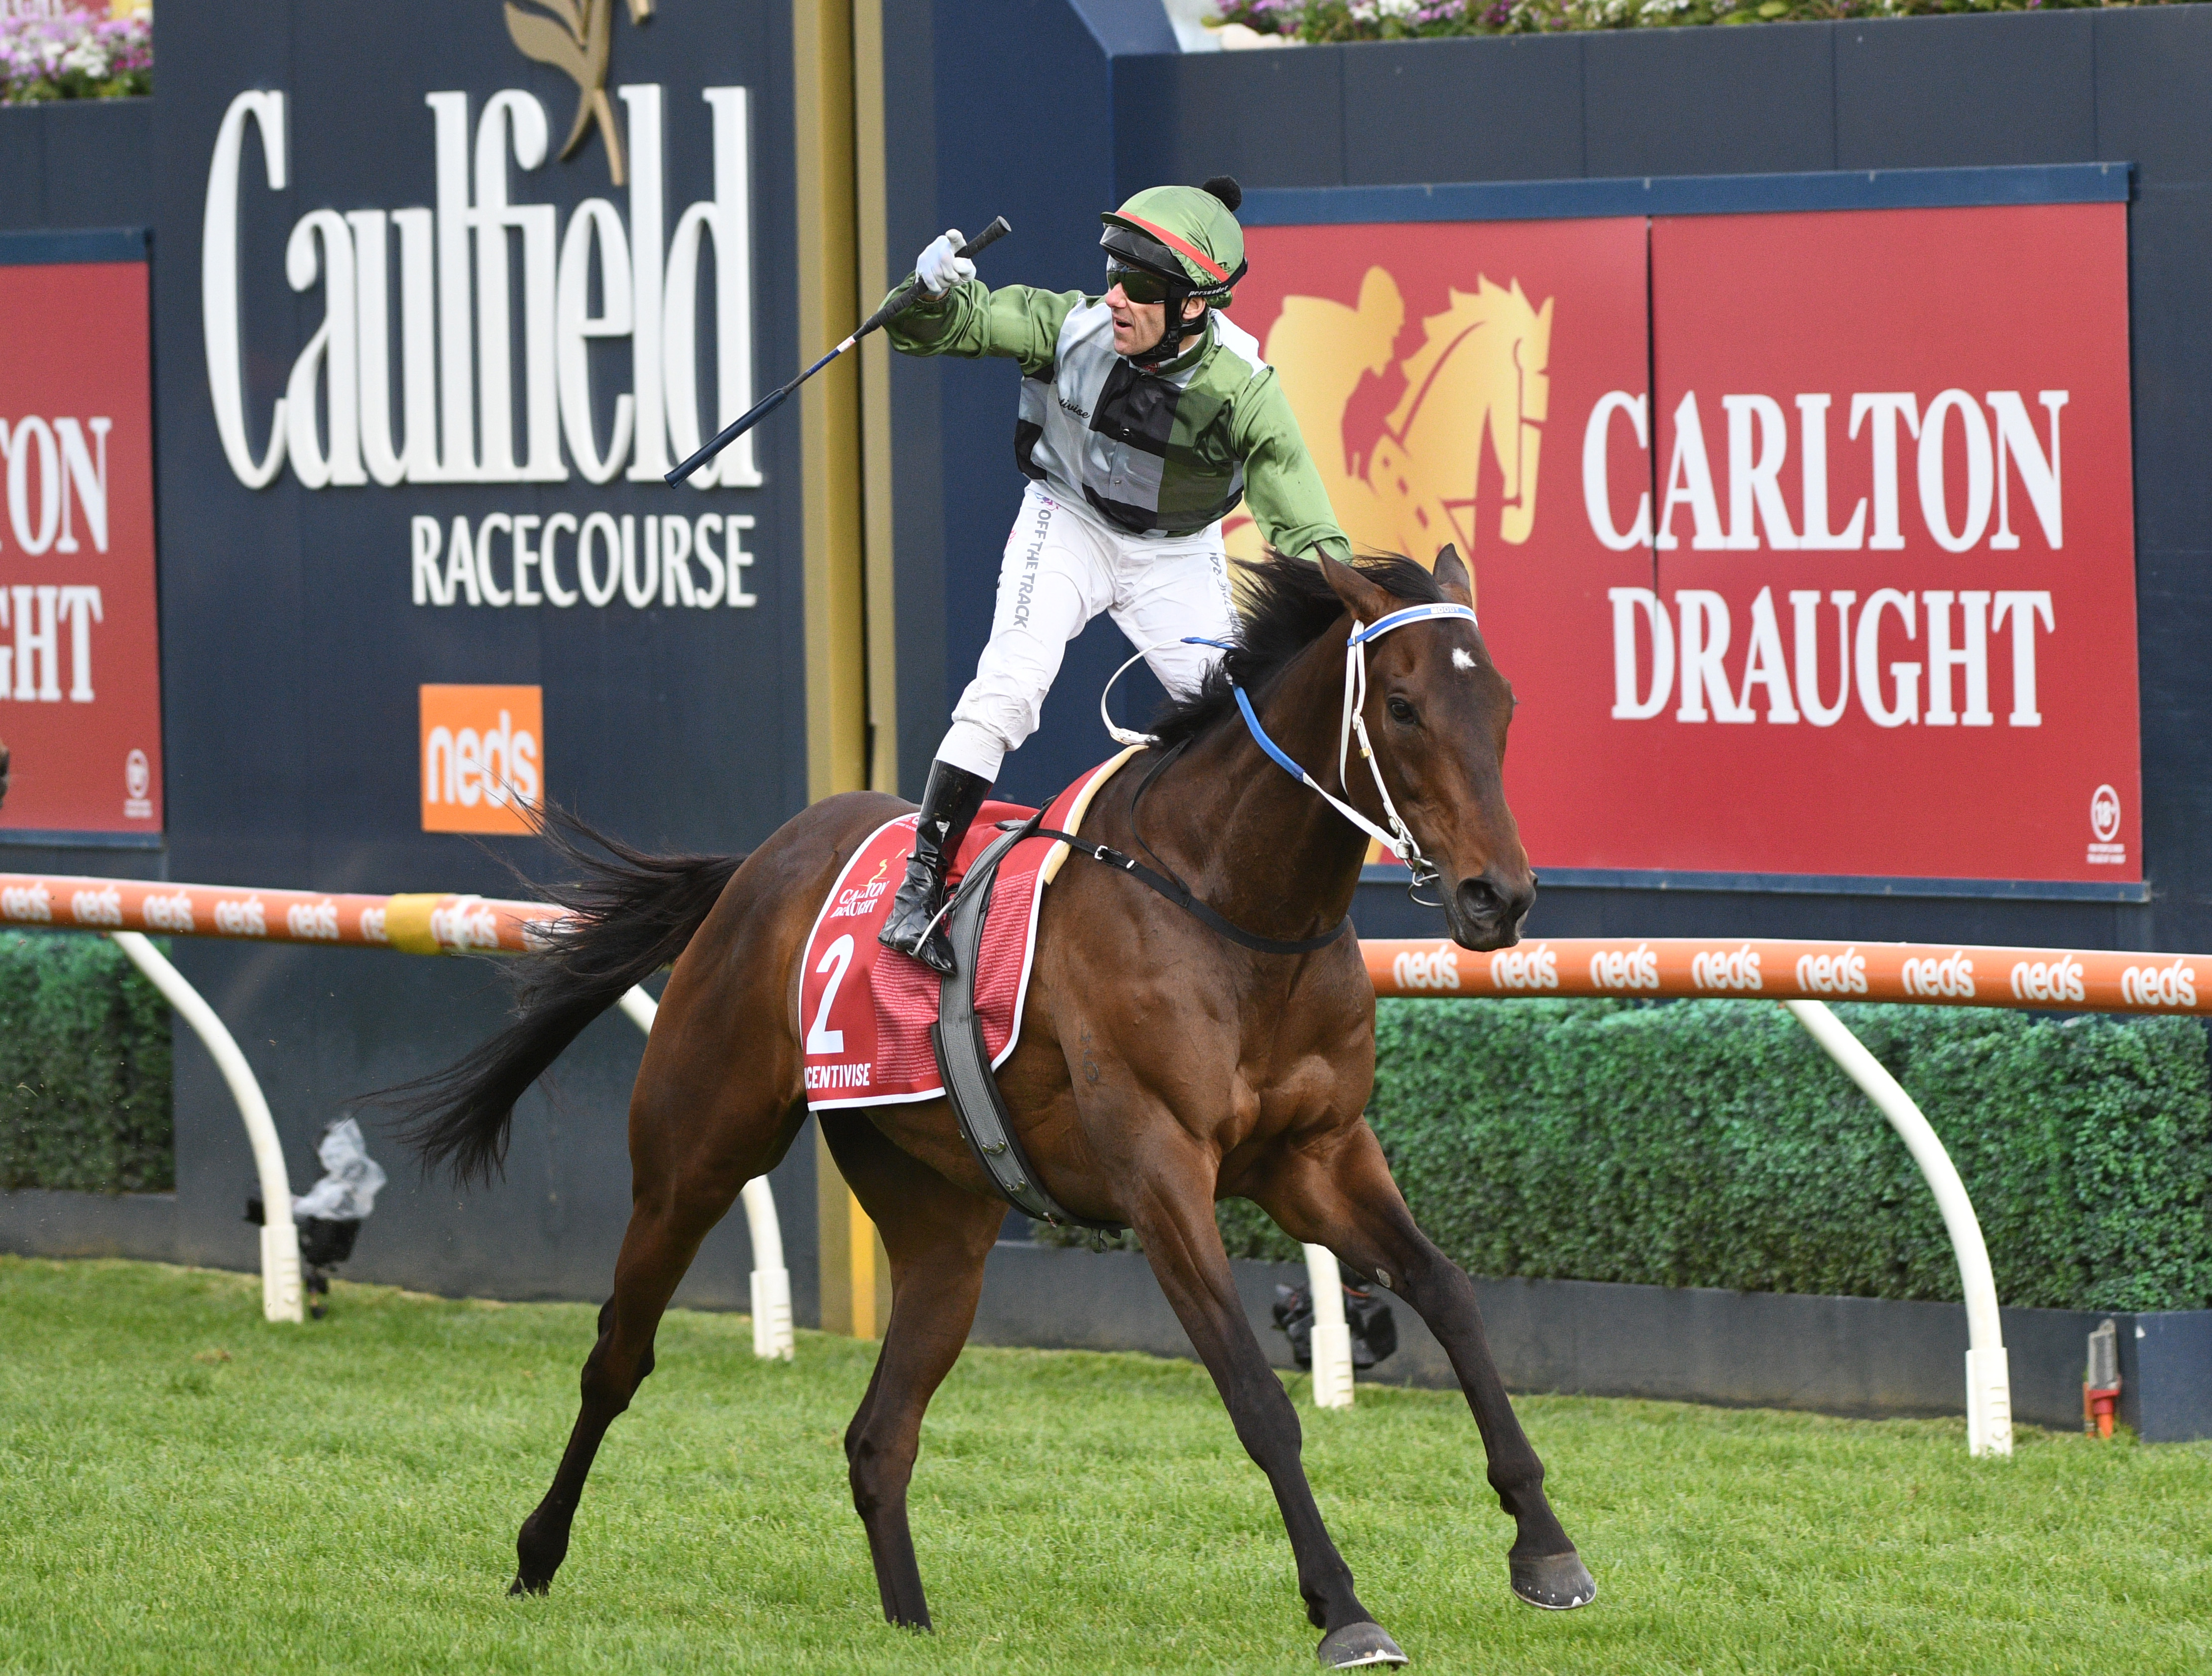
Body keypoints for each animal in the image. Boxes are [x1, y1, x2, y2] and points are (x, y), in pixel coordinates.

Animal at [393, 548, 1592, 1672]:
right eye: (1402, 705)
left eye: (1505, 706)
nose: (1498, 896)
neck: (1232, 903)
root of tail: (758, 864)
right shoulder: (1162, 1172)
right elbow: (1255, 1393)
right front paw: (1343, 1608)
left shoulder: (1316, 1155)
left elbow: (1447, 1292)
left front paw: (1543, 1546)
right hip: (693, 1154)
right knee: (618, 1357)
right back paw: (535, 1556)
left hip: (941, 1222)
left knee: (878, 1434)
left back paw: (911, 1623)